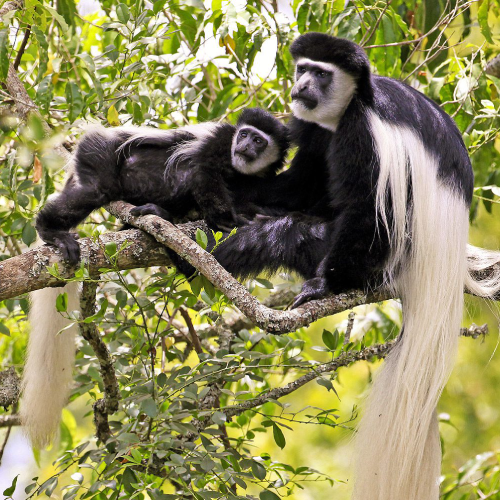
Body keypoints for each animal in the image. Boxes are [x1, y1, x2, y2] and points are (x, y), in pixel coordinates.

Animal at [23, 108, 290, 446]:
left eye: (259, 141)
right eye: (244, 135)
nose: (245, 147)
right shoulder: (219, 142)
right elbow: (204, 172)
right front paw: (228, 221)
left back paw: (157, 214)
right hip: (99, 153)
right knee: (101, 186)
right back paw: (52, 229)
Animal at [198, 33, 500, 498]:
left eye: (321, 73)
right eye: (303, 68)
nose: (302, 85)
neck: (355, 100)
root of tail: (440, 269)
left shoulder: (362, 133)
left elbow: (366, 209)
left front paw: (324, 286)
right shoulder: (313, 128)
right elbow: (303, 181)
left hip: (388, 257)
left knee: (301, 232)